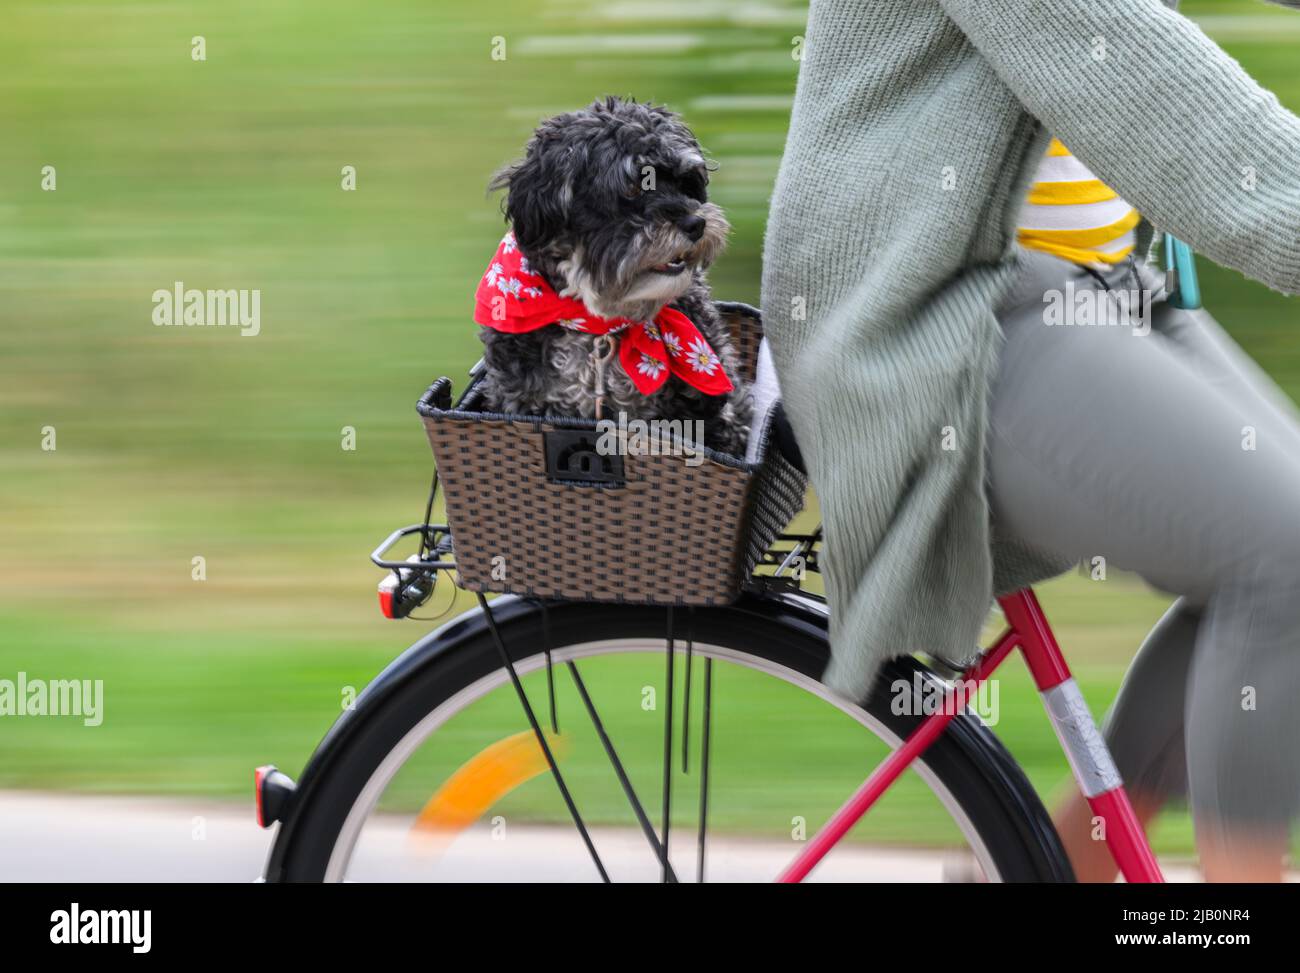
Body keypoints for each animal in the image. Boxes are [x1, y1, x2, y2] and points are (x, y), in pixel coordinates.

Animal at [473, 94, 754, 455]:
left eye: (685, 181)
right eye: (633, 188)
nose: (696, 223)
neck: (600, 325)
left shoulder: (709, 415)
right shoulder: (518, 398)